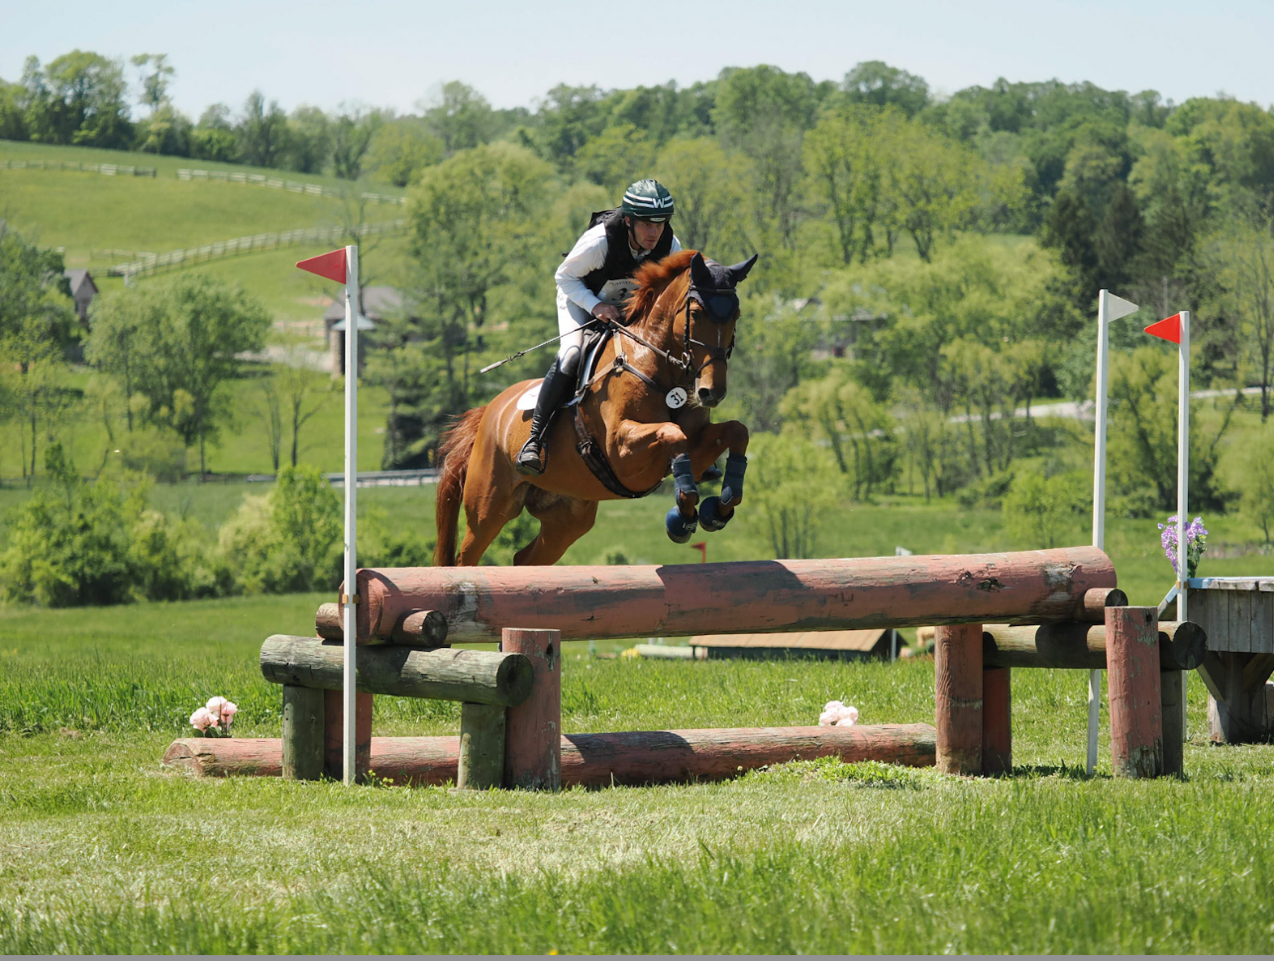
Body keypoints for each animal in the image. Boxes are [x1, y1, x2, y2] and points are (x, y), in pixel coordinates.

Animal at [433, 249, 758, 566]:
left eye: (736, 314)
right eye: (695, 313)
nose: (710, 392)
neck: (656, 363)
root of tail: (489, 412)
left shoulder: (696, 448)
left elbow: (737, 432)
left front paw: (718, 509)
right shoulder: (621, 451)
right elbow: (671, 432)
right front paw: (682, 518)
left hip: (568, 517)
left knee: (525, 559)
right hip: (488, 508)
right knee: (465, 557)